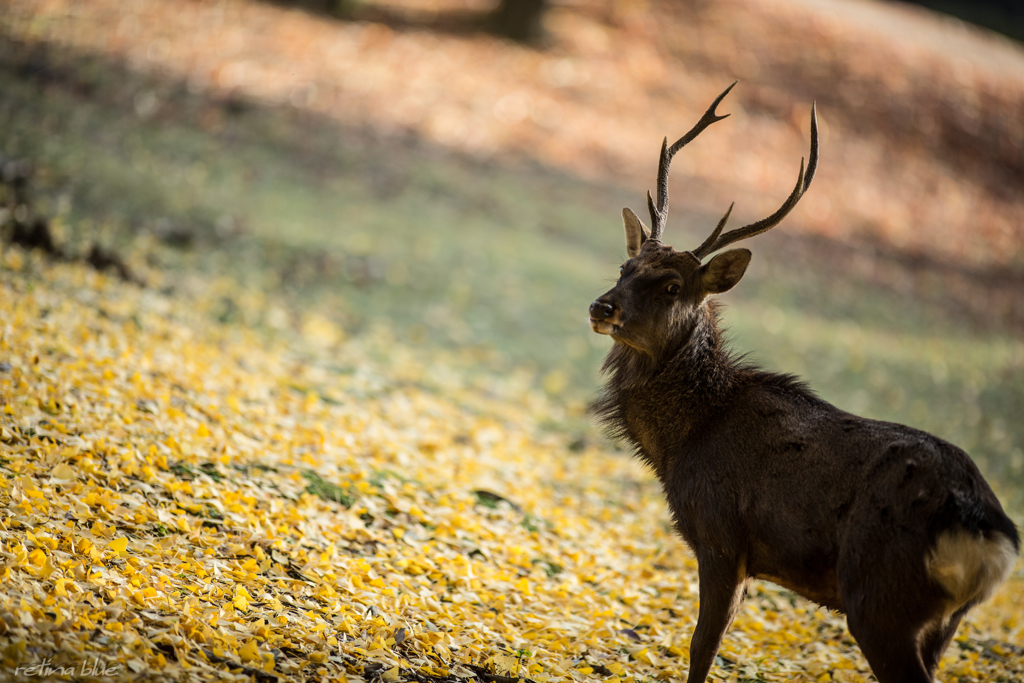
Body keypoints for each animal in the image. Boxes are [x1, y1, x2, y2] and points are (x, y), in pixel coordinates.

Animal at [589, 83, 1019, 683]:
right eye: (625, 267)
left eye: (672, 285)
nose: (601, 306)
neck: (682, 442)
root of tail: (988, 531)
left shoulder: (722, 535)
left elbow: (701, 647)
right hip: (943, 619)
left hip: (879, 598)